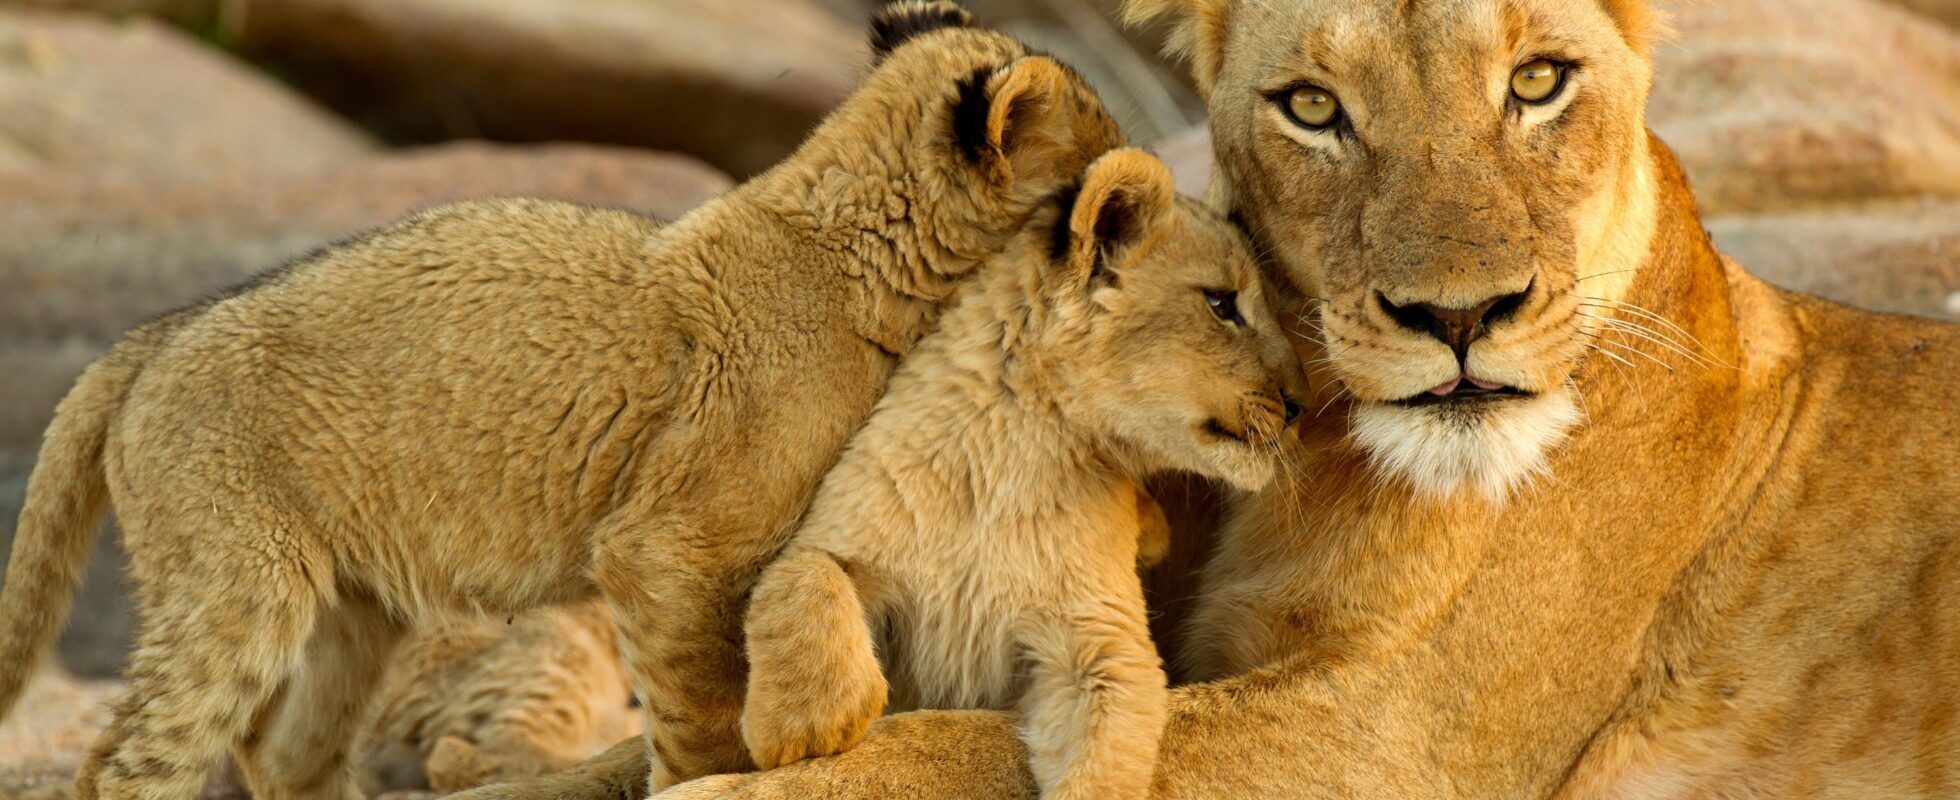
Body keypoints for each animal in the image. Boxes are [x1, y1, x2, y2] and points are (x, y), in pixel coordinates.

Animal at [0, 3, 1131, 797]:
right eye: (1100, 153)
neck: (855, 251)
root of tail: (155, 334)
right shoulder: (669, 547)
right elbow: (699, 711)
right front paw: (705, 778)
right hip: (237, 583)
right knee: (126, 760)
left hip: (353, 610)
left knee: (286, 755)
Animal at [738, 148, 1307, 800]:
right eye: (1220, 304)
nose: (1302, 404)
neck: (1019, 451)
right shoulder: (837, 524)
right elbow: (798, 577)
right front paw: (807, 727)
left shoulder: (1099, 642)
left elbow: (1102, 763)